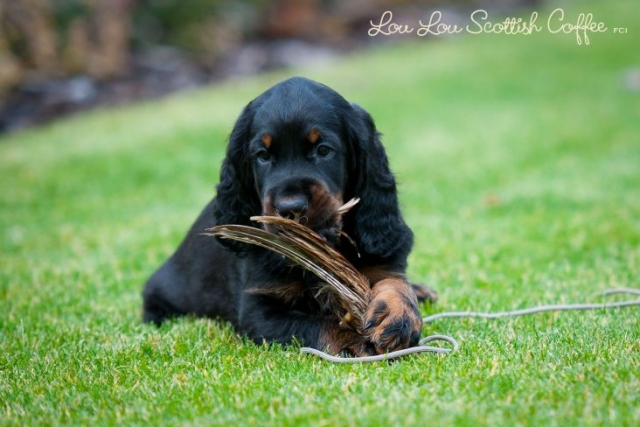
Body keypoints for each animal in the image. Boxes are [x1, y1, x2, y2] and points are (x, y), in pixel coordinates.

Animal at [143, 77, 436, 358]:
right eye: (262, 156)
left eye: (324, 150)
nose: (290, 207)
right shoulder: (259, 310)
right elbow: (316, 324)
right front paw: (354, 339)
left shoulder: (383, 261)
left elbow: (395, 281)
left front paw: (397, 314)